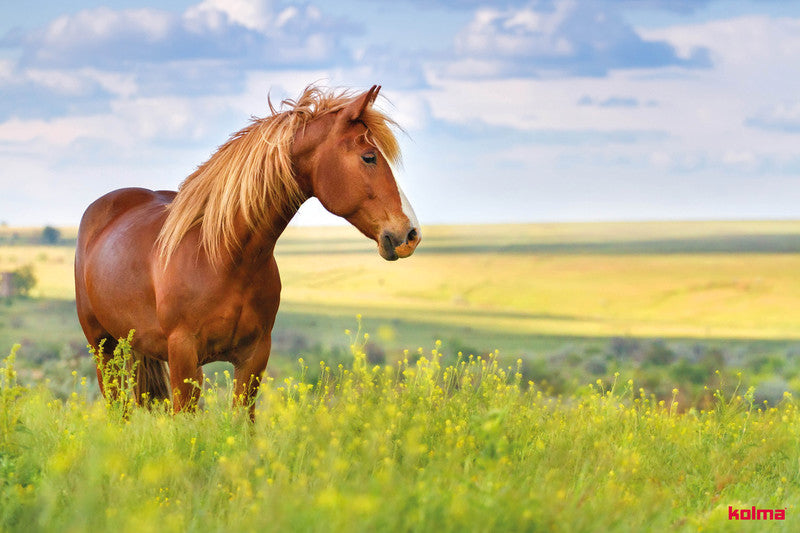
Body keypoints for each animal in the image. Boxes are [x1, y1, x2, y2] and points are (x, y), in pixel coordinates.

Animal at [74, 85, 420, 418]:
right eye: (369, 157)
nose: (411, 233)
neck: (224, 258)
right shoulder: (183, 356)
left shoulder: (254, 357)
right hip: (103, 348)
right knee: (117, 410)